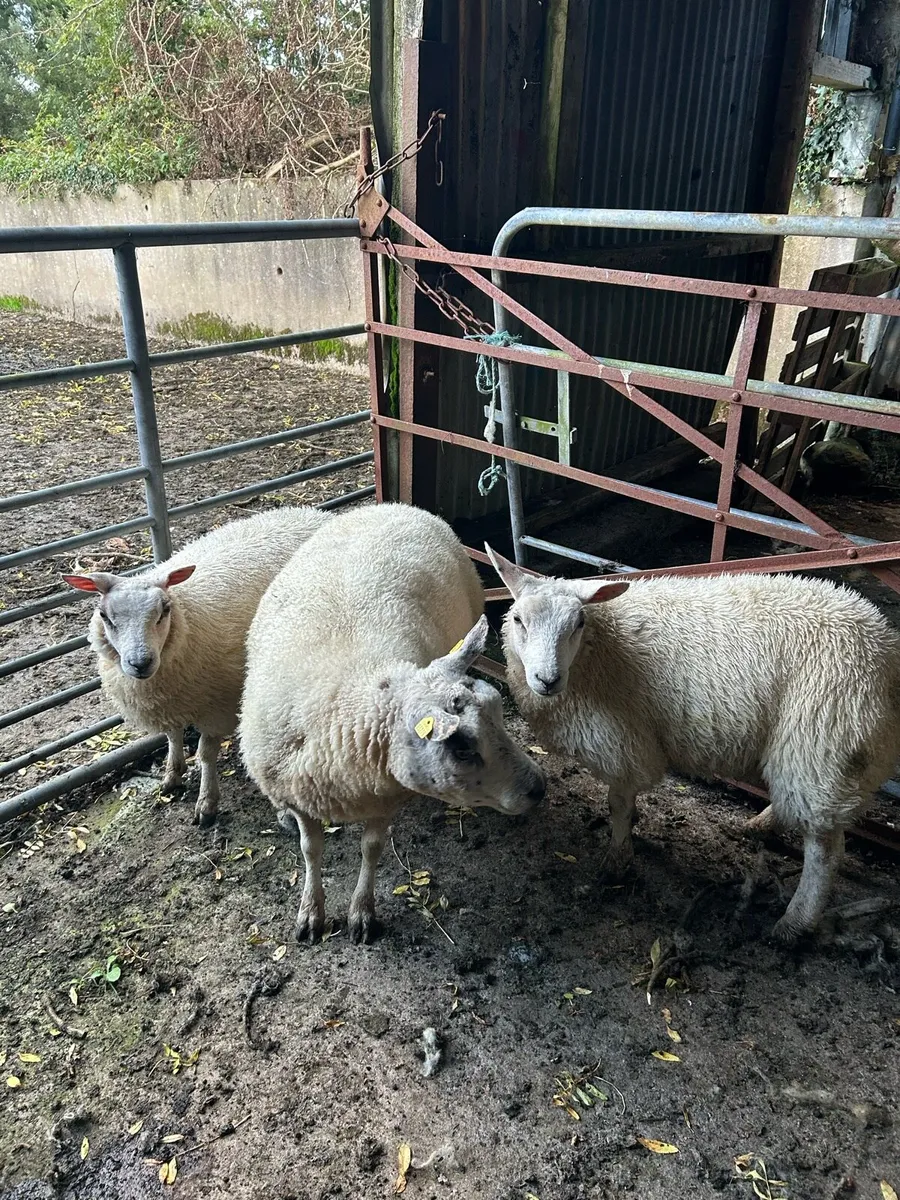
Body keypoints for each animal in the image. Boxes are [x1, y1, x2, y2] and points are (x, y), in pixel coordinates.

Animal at [63, 506, 330, 825]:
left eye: (164, 610)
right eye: (105, 616)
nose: (140, 663)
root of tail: (308, 511)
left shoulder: (217, 706)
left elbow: (205, 754)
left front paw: (207, 803)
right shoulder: (170, 703)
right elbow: (172, 735)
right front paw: (172, 774)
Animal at [240, 503, 546, 944]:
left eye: (498, 715)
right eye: (461, 747)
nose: (539, 788)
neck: (354, 696)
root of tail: (394, 505)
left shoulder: (384, 793)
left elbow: (371, 849)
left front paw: (362, 914)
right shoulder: (301, 792)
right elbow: (310, 850)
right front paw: (311, 912)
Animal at [486, 545, 900, 943]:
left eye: (579, 623)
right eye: (518, 620)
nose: (547, 679)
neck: (599, 648)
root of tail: (884, 647)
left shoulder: (622, 740)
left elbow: (618, 804)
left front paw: (617, 860)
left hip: (823, 735)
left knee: (825, 848)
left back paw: (794, 924)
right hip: (819, 747)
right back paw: (758, 827)